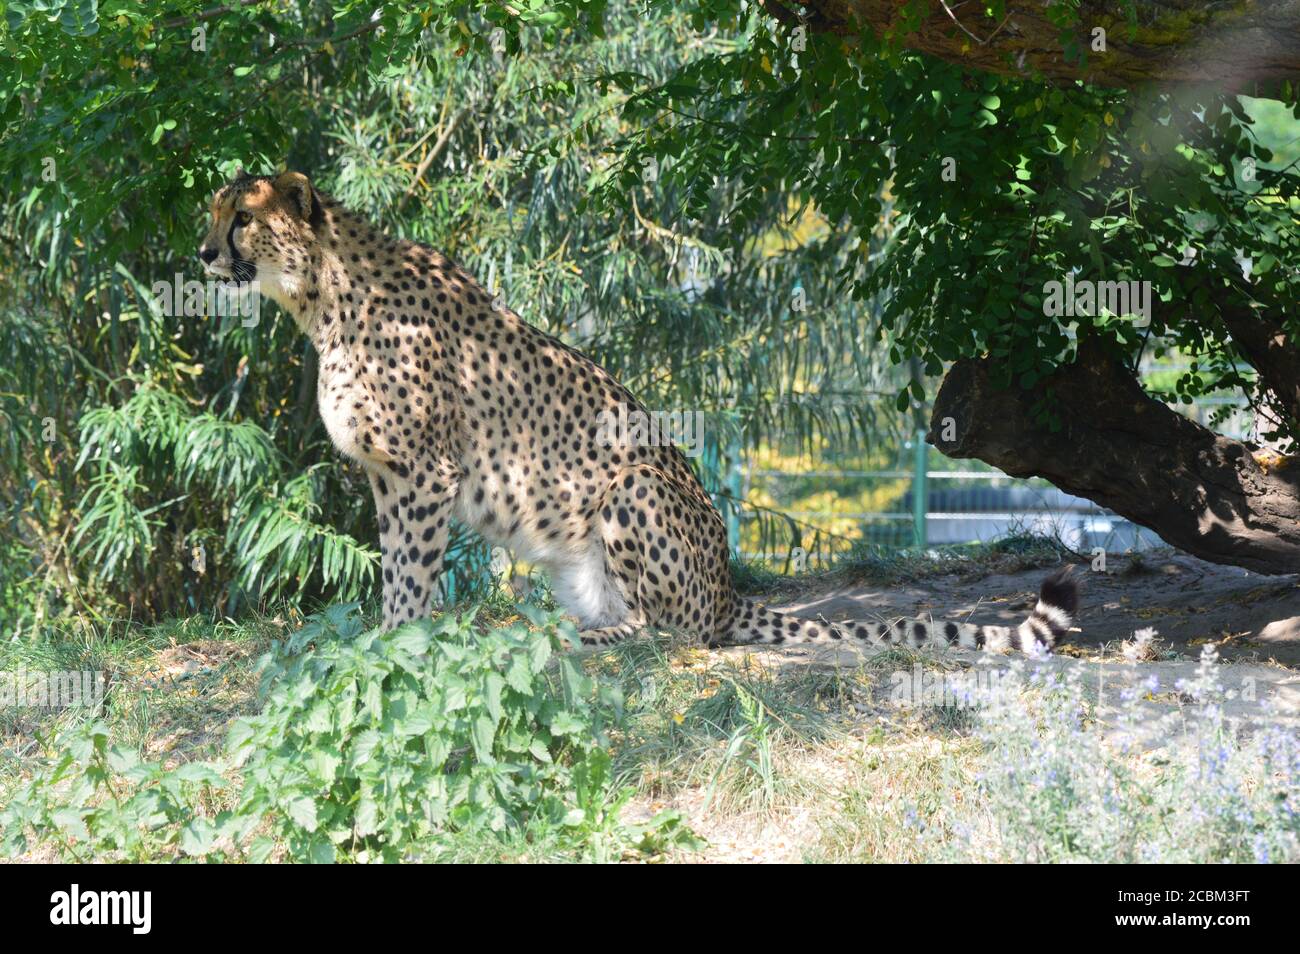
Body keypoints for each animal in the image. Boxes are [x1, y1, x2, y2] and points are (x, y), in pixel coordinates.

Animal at [199, 169, 1080, 652]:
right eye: (214, 212)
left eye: (242, 216)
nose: (203, 253)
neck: (320, 296)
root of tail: (727, 588)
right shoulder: (389, 475)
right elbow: (394, 565)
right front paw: (389, 633)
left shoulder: (424, 471)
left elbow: (412, 572)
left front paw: (398, 642)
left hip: (635, 485)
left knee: (678, 632)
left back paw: (599, 634)